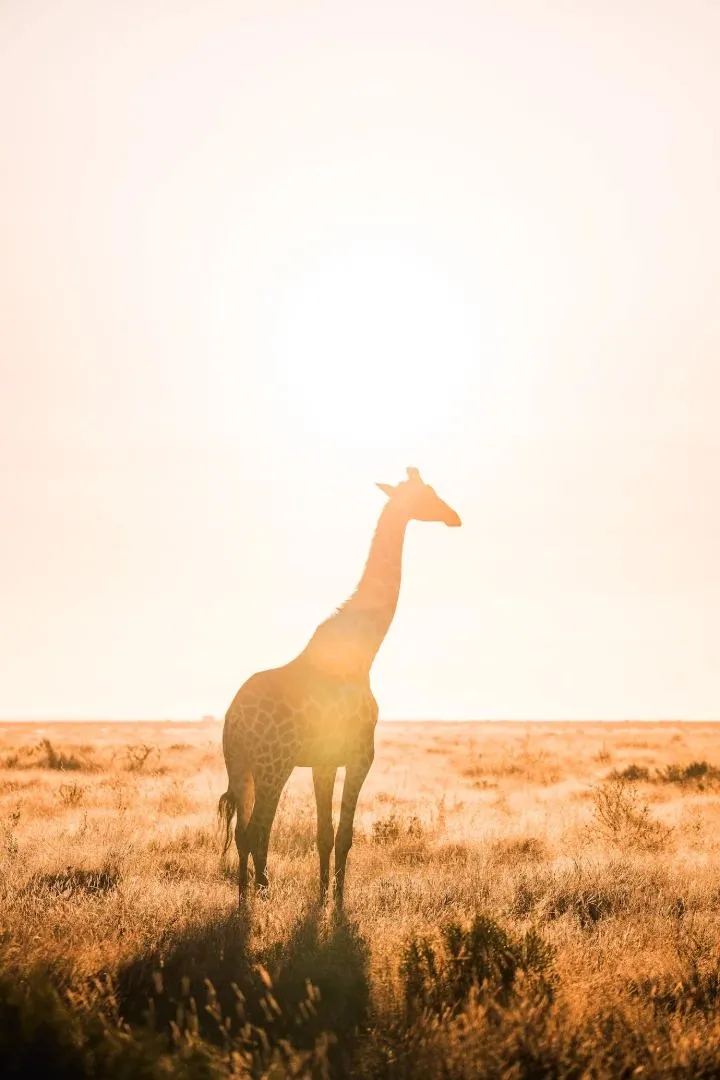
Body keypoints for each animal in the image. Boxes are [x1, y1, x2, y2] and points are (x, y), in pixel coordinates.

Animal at [218, 466, 461, 905]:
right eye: (427, 494)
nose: (454, 517)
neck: (365, 652)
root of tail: (234, 719)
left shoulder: (325, 761)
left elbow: (324, 834)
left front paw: (321, 894)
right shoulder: (362, 754)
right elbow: (346, 834)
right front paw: (339, 901)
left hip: (239, 764)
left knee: (244, 831)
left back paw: (246, 894)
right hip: (273, 764)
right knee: (256, 828)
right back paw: (259, 893)